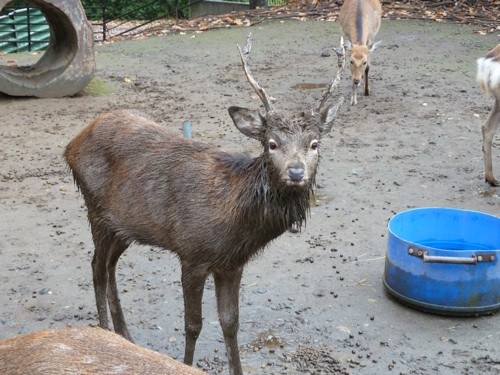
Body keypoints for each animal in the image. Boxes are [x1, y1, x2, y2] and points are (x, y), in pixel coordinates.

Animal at [62, 35, 346, 375]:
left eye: (314, 144)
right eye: (272, 144)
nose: (296, 172)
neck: (235, 222)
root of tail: (71, 144)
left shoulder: (232, 264)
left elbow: (230, 323)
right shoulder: (192, 253)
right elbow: (193, 324)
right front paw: (186, 363)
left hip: (124, 226)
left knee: (109, 266)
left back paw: (124, 335)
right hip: (96, 210)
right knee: (97, 268)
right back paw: (105, 332)